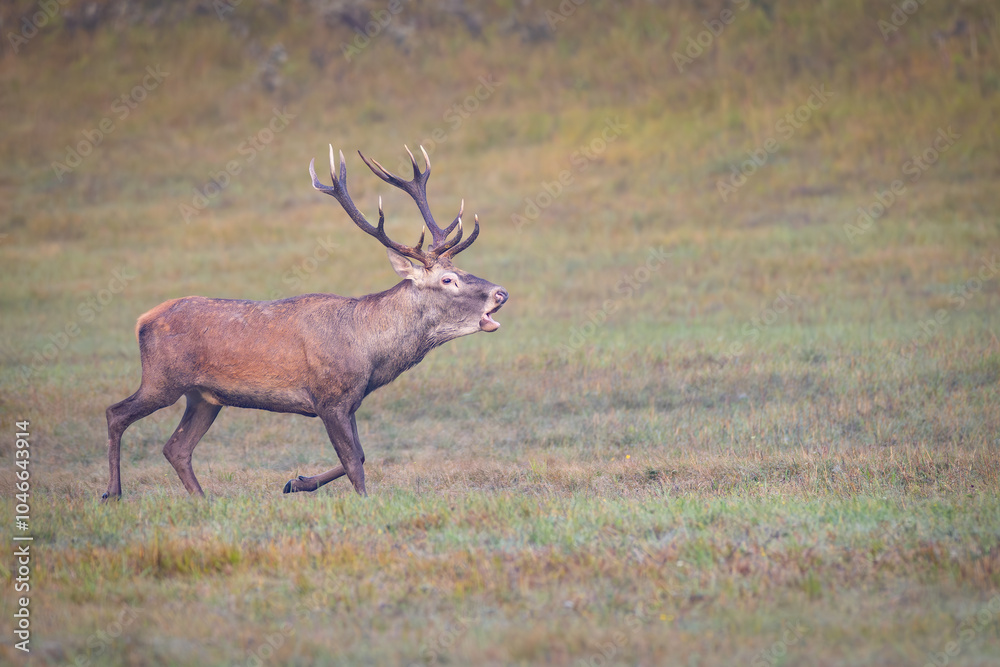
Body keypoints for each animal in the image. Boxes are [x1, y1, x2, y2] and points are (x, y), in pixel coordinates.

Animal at [101, 146, 508, 500]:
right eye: (448, 279)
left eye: (459, 270)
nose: (501, 293)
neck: (370, 354)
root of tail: (142, 320)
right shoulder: (328, 397)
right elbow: (354, 461)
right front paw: (363, 501)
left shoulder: (349, 402)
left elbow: (360, 456)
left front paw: (296, 482)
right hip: (162, 380)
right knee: (116, 413)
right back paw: (113, 493)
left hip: (203, 397)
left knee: (176, 447)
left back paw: (203, 500)